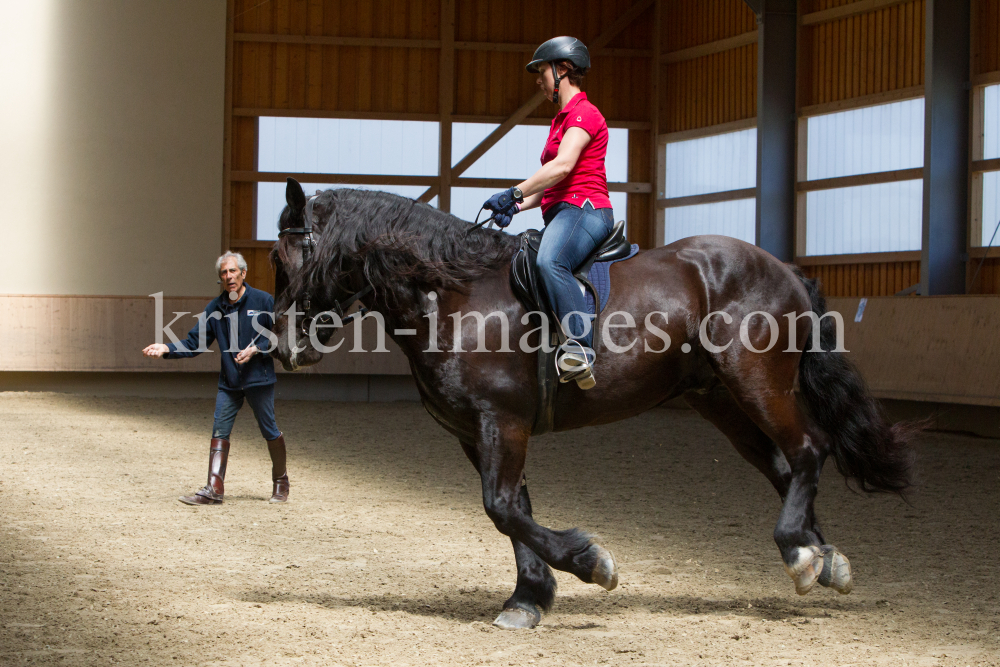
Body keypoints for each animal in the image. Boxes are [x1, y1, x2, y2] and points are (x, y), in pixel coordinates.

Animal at [268, 180, 916, 628]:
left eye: (288, 259)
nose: (282, 345)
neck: (452, 294)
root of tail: (783, 268)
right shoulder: (477, 432)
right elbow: (514, 510)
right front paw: (529, 598)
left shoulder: (502, 421)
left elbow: (501, 508)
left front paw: (590, 561)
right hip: (721, 402)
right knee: (783, 467)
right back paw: (823, 557)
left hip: (758, 384)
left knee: (808, 449)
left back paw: (801, 554)